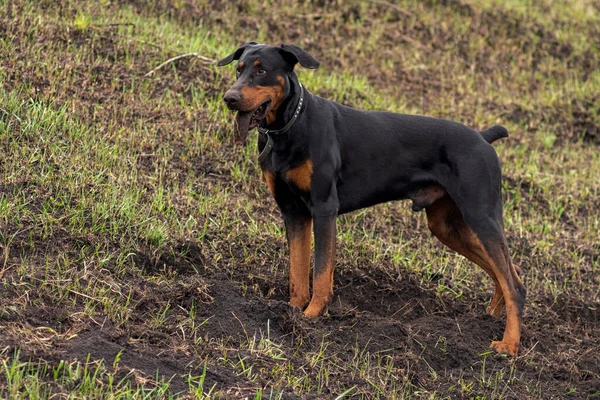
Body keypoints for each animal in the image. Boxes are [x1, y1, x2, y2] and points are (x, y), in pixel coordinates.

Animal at [217, 42, 524, 354]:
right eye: (239, 69)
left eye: (262, 71)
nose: (230, 98)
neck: (290, 126)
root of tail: (483, 137)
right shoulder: (293, 212)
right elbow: (298, 271)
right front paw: (291, 311)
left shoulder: (324, 208)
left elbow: (321, 272)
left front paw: (312, 315)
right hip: (447, 226)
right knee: (508, 273)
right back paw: (489, 319)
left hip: (480, 215)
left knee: (513, 284)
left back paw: (508, 345)